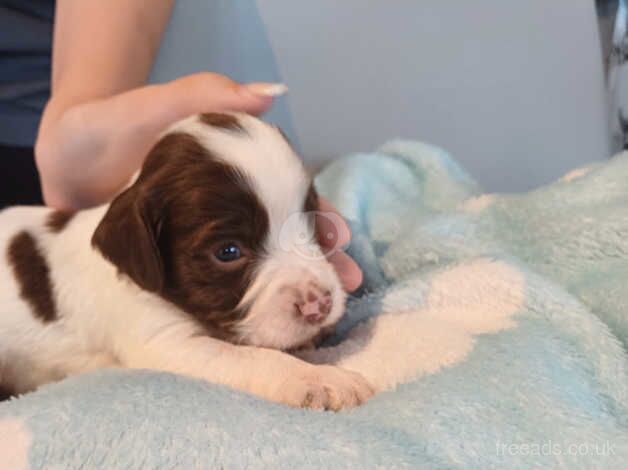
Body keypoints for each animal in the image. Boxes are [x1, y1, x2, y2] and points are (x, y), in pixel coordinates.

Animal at [0, 112, 372, 410]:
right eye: (228, 252)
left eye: (313, 223)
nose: (320, 306)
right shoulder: (164, 342)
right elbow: (250, 357)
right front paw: (319, 378)